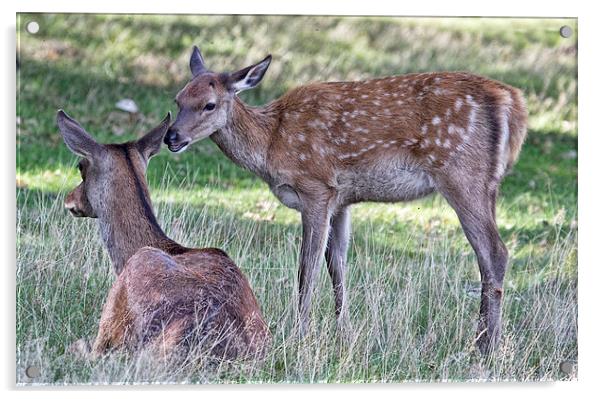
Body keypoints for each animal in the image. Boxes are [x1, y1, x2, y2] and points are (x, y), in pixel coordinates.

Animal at [164, 45, 524, 354]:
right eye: (179, 99)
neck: (271, 144)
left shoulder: (316, 187)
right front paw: (344, 333)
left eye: (209, 104)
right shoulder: (341, 199)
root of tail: (513, 102)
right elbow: (336, 265)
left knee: (495, 252)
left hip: (462, 174)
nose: (172, 137)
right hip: (487, 185)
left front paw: (300, 335)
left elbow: (306, 268)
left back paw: (485, 345)